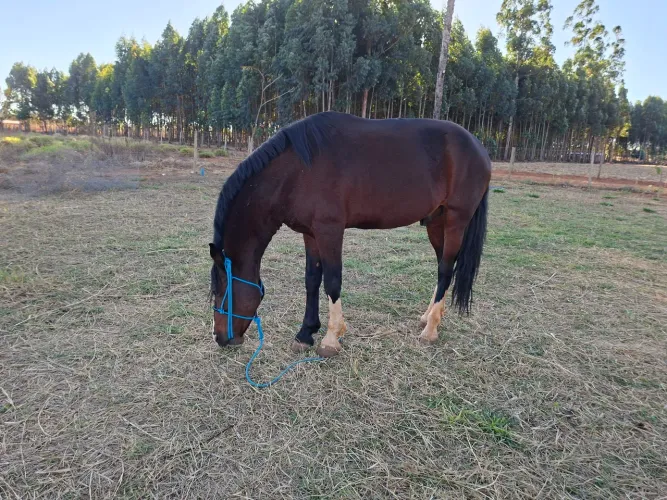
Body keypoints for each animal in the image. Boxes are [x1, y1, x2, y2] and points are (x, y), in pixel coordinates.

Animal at [209, 111, 491, 358]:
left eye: (221, 294)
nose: (220, 338)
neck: (297, 171)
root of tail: (478, 147)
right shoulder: (311, 233)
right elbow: (312, 280)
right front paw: (305, 334)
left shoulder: (330, 230)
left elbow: (332, 281)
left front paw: (331, 339)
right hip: (436, 221)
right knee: (444, 266)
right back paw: (428, 316)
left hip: (456, 220)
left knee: (445, 269)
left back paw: (430, 330)